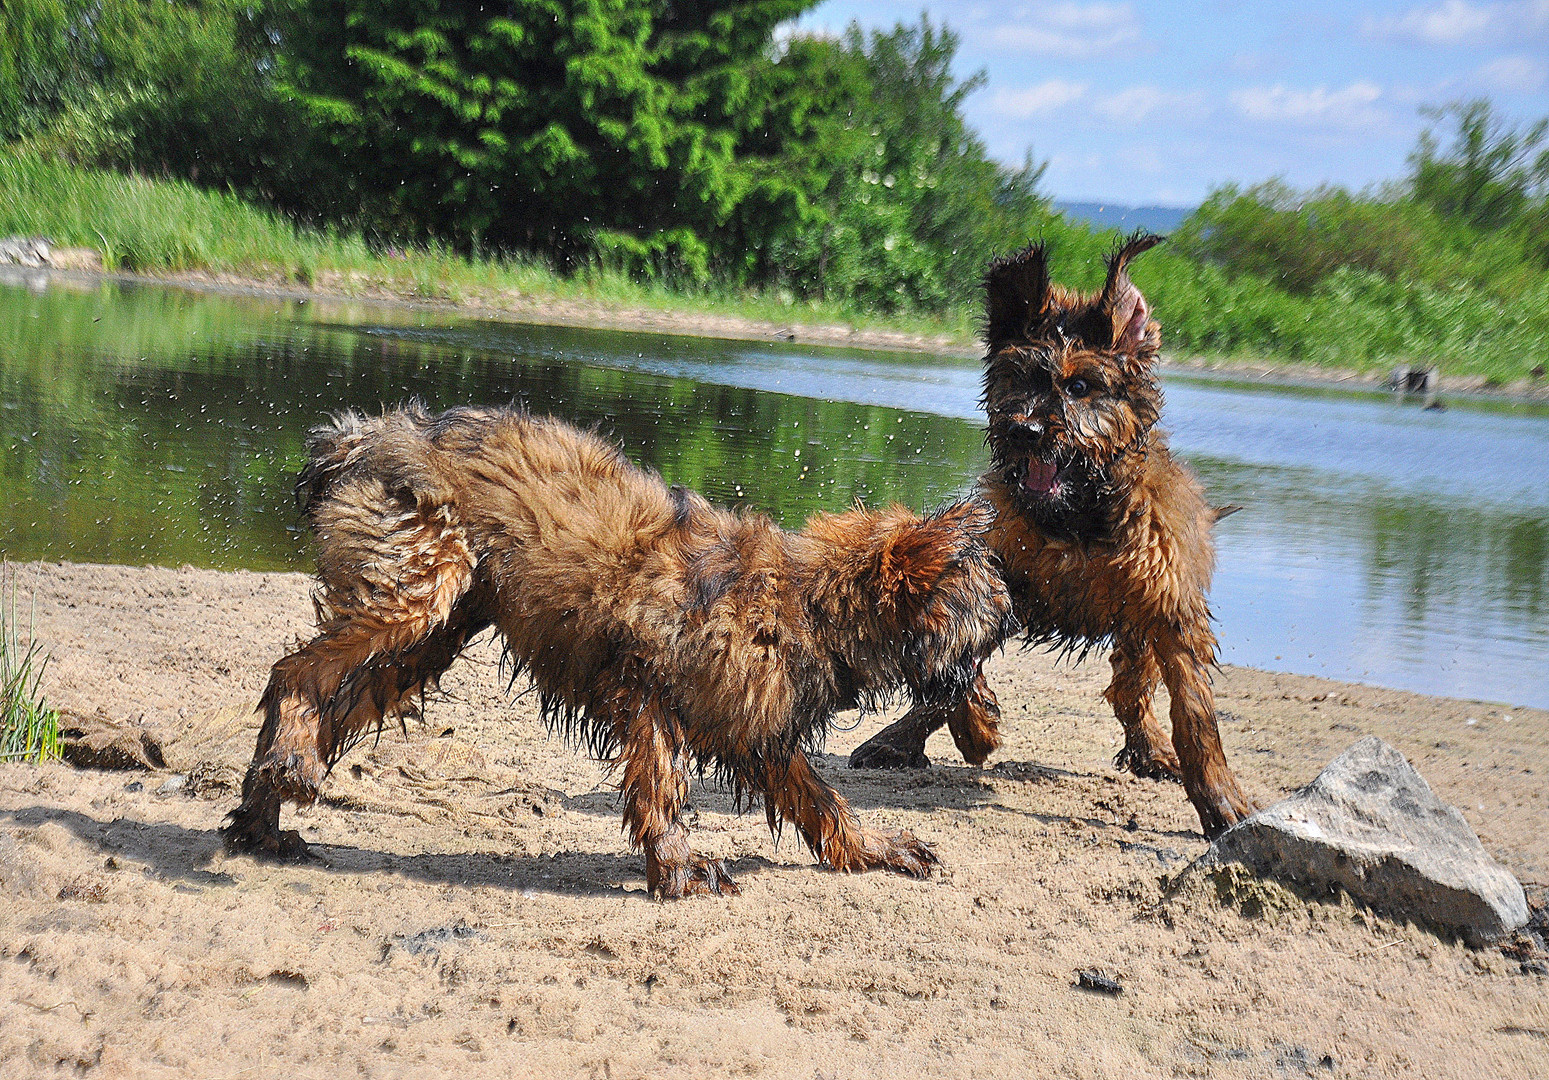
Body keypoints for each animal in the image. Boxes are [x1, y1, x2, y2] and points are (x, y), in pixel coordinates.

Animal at [221, 402, 1016, 892]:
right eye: (985, 603)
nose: (1013, 615)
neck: (808, 603)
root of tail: (367, 435)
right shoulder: (647, 689)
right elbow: (660, 784)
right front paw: (678, 868)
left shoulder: (756, 733)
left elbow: (825, 806)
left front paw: (875, 850)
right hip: (421, 586)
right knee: (294, 673)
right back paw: (288, 770)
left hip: (430, 632)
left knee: (331, 695)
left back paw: (263, 818)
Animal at [848, 235, 1257, 836]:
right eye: (1019, 377)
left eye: (1081, 385)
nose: (1025, 429)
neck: (1076, 520)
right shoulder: (998, 570)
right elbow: (960, 660)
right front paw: (977, 726)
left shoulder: (1167, 604)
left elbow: (1195, 713)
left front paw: (1221, 800)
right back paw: (895, 741)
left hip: (1138, 627)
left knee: (1131, 691)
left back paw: (1153, 750)